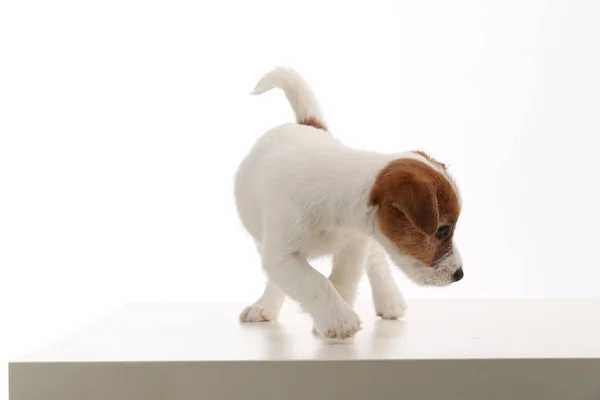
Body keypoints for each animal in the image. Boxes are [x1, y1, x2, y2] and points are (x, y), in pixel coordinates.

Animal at [234, 68, 464, 338]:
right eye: (442, 230)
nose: (460, 275)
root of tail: (306, 124)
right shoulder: (281, 256)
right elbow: (314, 282)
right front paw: (340, 320)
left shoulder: (354, 244)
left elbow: (343, 280)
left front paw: (336, 314)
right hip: (264, 242)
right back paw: (265, 307)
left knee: (376, 260)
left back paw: (389, 300)